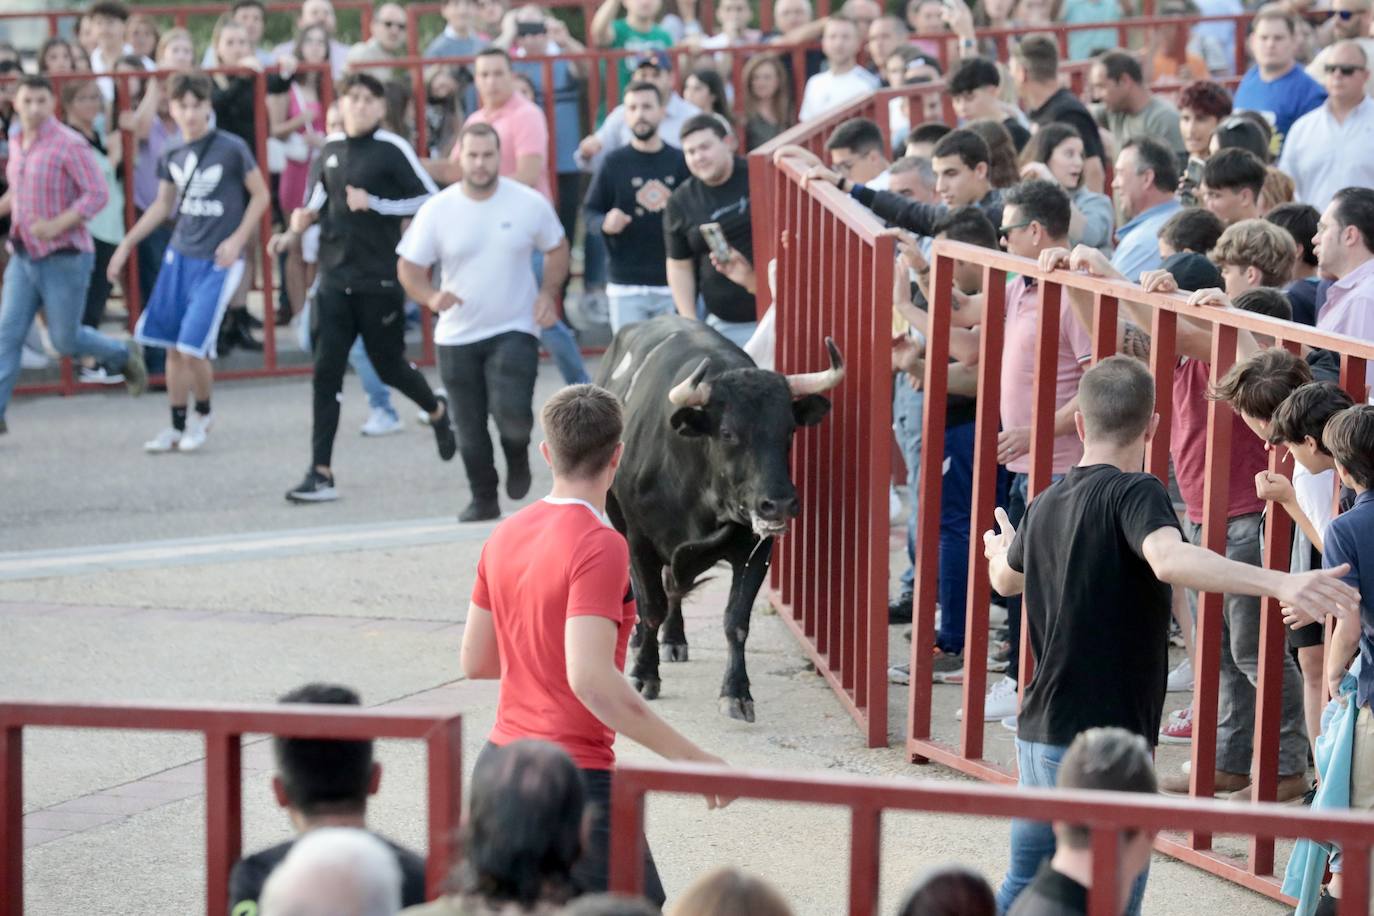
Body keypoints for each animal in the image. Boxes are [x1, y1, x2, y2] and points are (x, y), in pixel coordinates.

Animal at [596, 315, 840, 725]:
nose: (778, 504)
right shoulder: (639, 540)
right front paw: (644, 673)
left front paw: (736, 692)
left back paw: (675, 638)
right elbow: (651, 607)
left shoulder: (756, 549)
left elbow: (735, 621)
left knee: (674, 587)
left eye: (789, 430)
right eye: (728, 432)